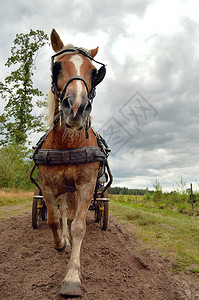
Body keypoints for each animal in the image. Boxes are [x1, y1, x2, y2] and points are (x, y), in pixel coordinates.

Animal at [38, 29, 108, 296]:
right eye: (57, 66)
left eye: (93, 72)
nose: (77, 107)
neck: (68, 143)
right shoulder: (48, 186)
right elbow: (53, 219)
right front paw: (60, 243)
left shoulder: (86, 186)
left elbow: (78, 226)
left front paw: (71, 278)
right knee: (61, 213)